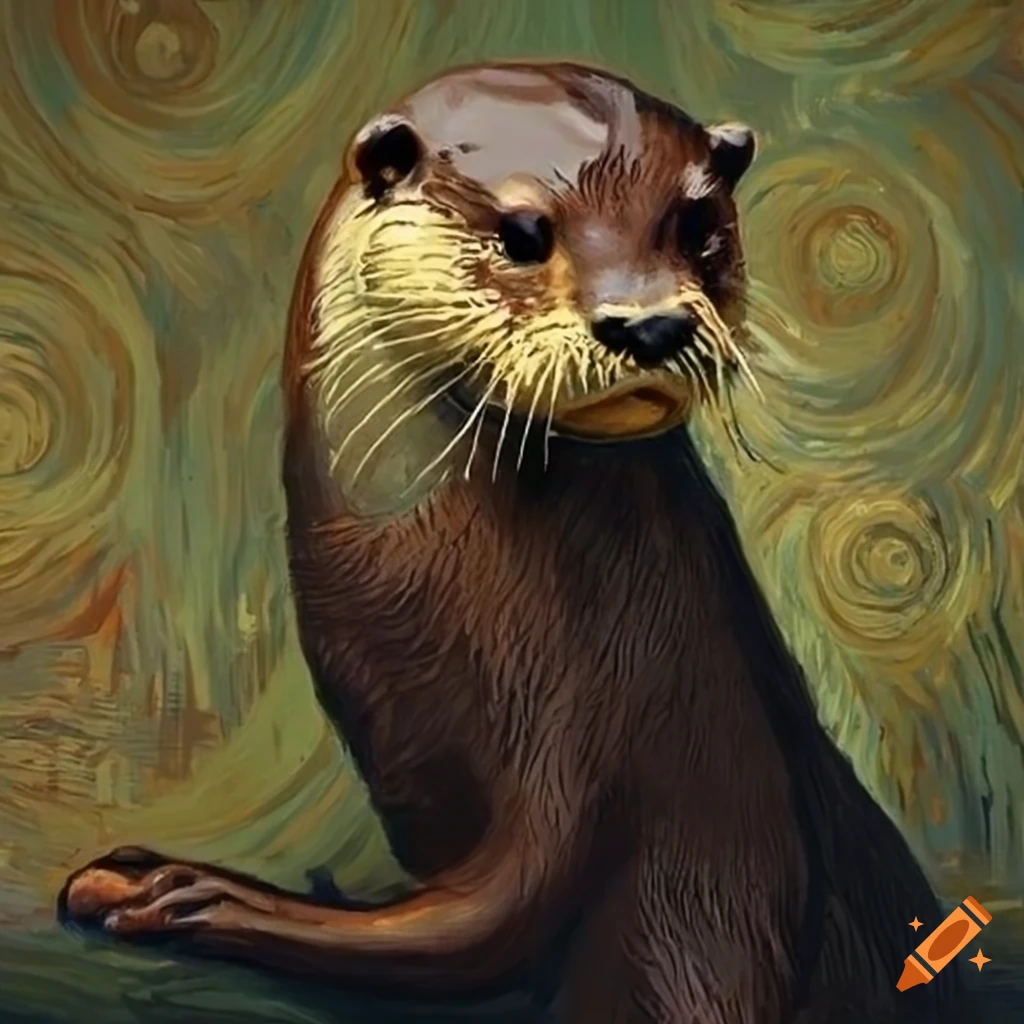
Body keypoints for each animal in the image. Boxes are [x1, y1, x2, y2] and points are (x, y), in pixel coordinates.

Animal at [60, 63, 960, 1023]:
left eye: (696, 226)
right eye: (525, 233)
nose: (649, 324)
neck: (460, 588)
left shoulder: (609, 749)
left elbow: (482, 919)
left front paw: (173, 889)